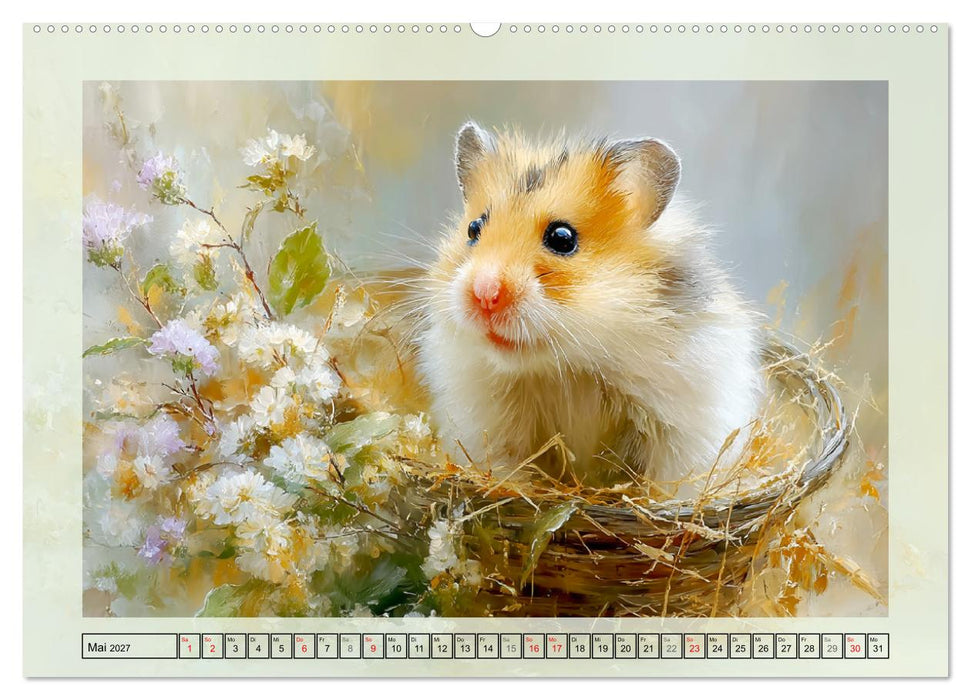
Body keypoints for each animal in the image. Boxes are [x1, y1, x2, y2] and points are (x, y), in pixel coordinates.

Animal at [414, 121, 764, 488]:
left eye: (562, 238)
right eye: (473, 229)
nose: (484, 294)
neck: (570, 363)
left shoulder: (685, 426)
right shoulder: (490, 422)